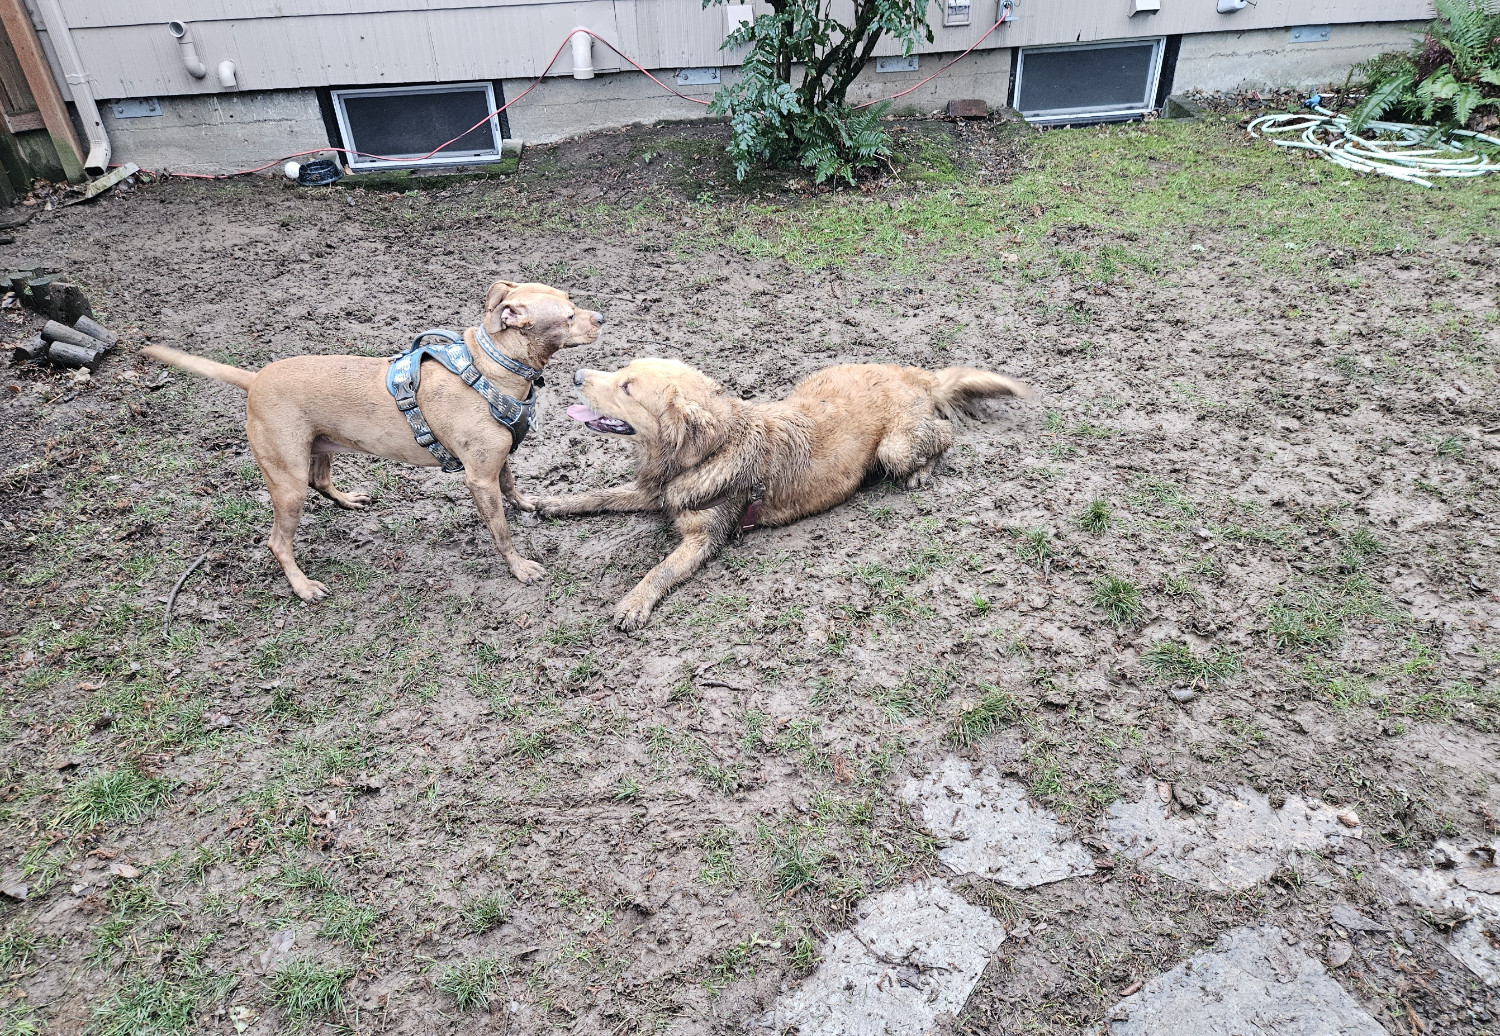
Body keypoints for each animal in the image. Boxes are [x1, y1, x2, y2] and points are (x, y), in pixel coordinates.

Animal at [143, 280, 600, 602]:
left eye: (571, 301)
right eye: (569, 315)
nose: (600, 317)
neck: (493, 367)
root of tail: (254, 379)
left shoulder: (498, 460)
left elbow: (512, 487)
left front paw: (528, 504)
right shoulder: (479, 478)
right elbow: (501, 531)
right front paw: (519, 567)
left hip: (319, 450)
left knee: (321, 481)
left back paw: (348, 500)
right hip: (287, 483)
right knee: (277, 541)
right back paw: (303, 586)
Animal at [528, 356, 1032, 632]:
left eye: (627, 387)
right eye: (623, 370)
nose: (575, 374)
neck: (704, 453)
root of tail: (912, 375)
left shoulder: (704, 538)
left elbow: (660, 570)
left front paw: (634, 602)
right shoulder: (653, 492)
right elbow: (599, 495)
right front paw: (551, 503)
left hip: (896, 447)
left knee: (945, 434)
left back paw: (923, 472)